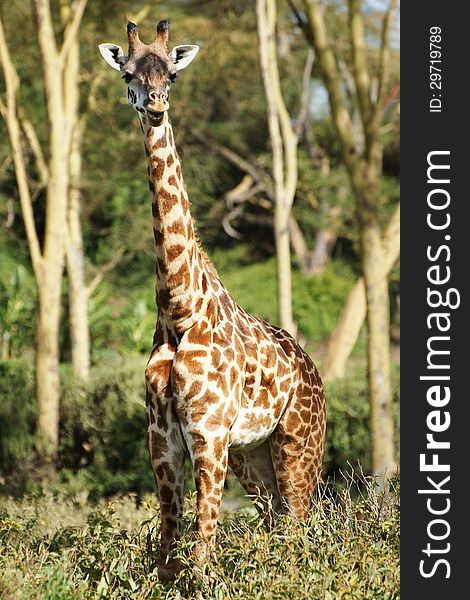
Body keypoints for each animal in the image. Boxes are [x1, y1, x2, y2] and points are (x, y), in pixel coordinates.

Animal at [100, 19, 326, 584]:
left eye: (172, 74)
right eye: (129, 74)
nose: (156, 105)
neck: (179, 310)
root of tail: (314, 369)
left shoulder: (207, 434)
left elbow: (202, 552)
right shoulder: (162, 441)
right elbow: (167, 552)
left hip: (297, 446)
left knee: (300, 528)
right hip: (254, 455)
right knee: (276, 522)